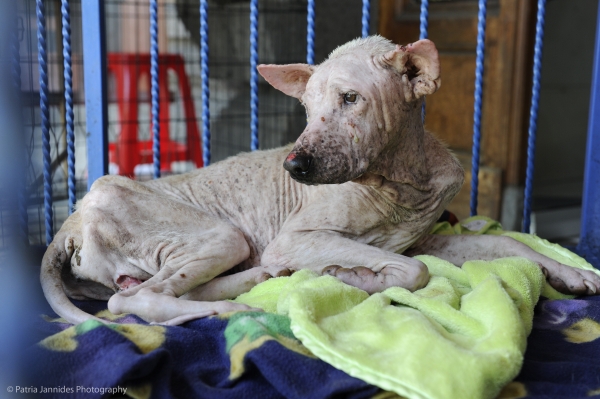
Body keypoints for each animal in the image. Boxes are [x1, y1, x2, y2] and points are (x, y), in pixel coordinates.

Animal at [41, 36, 600, 326]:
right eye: (307, 110)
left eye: (351, 99)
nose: (295, 166)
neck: (400, 182)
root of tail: (69, 223)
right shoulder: (299, 237)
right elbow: (412, 271)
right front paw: (353, 278)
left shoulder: (427, 238)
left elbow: (509, 243)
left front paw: (572, 273)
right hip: (217, 234)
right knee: (128, 301)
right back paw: (231, 305)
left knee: (158, 288)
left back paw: (258, 282)